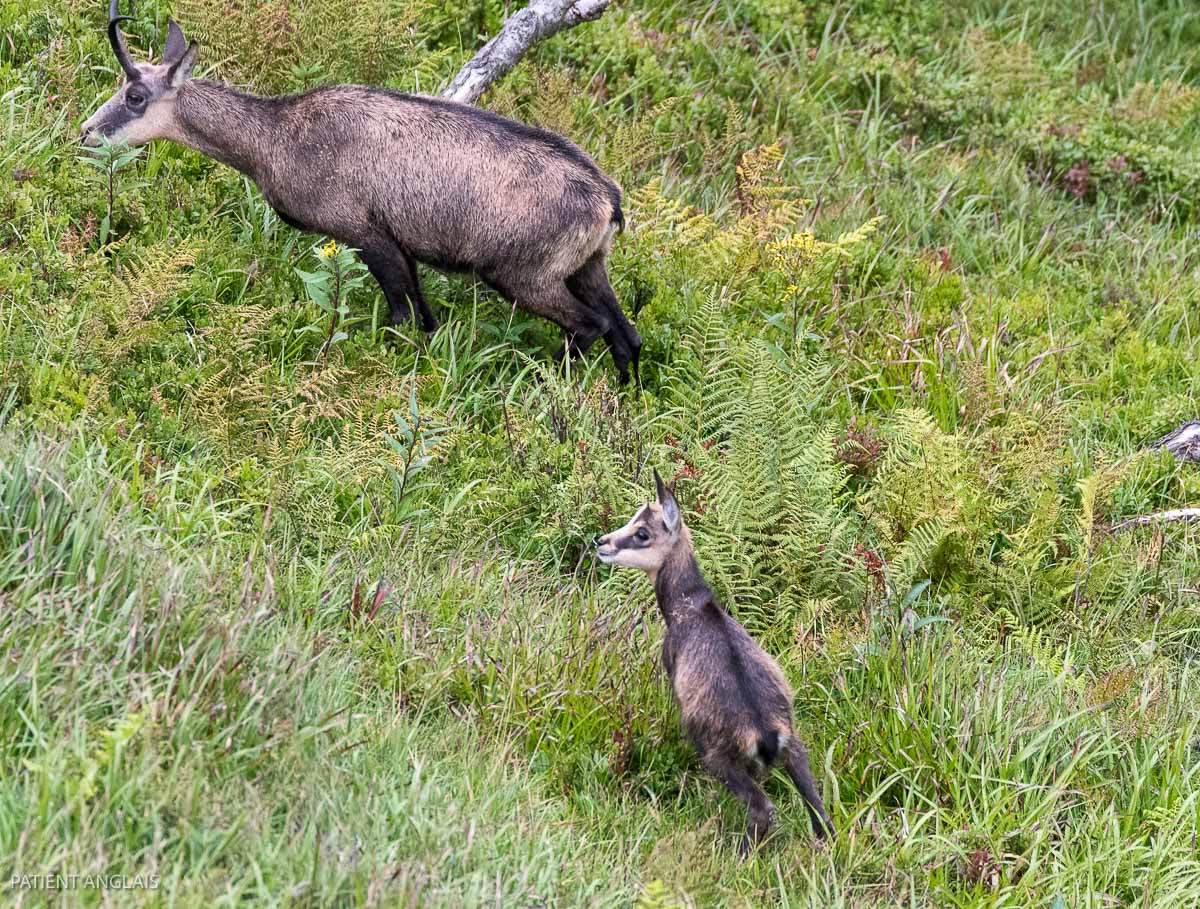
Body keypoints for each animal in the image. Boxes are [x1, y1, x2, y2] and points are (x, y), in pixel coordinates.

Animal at [81, 3, 642, 383]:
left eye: (136, 95)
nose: (85, 133)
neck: (276, 137)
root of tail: (608, 202)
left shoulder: (364, 232)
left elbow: (402, 315)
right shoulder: (401, 243)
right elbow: (426, 318)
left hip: (522, 274)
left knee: (590, 325)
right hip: (588, 267)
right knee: (626, 333)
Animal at [595, 471, 835, 854]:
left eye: (642, 532)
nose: (600, 542)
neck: (690, 607)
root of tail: (765, 733)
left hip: (718, 756)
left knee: (763, 808)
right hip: (796, 748)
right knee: (819, 808)